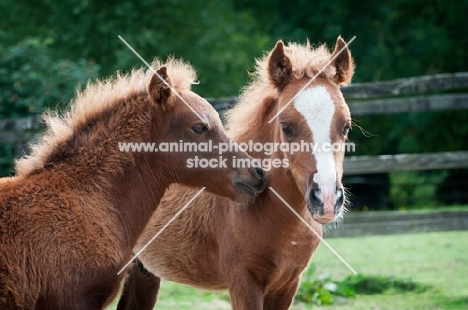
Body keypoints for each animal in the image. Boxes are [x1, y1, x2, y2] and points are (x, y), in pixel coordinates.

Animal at [118, 37, 354, 308]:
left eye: (346, 126)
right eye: (286, 127)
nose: (326, 199)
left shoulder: (288, 285)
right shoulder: (243, 281)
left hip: (143, 271)